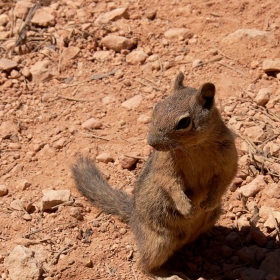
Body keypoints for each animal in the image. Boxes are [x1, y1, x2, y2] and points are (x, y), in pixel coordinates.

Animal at [71, 71, 237, 278]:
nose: (151, 142)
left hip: (209, 219)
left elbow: (224, 181)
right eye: (156, 108)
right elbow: (170, 184)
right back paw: (171, 275)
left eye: (184, 122)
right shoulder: (165, 165)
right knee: (144, 266)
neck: (194, 147)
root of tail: (133, 215)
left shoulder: (228, 158)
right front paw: (186, 207)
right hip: (158, 242)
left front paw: (208, 202)